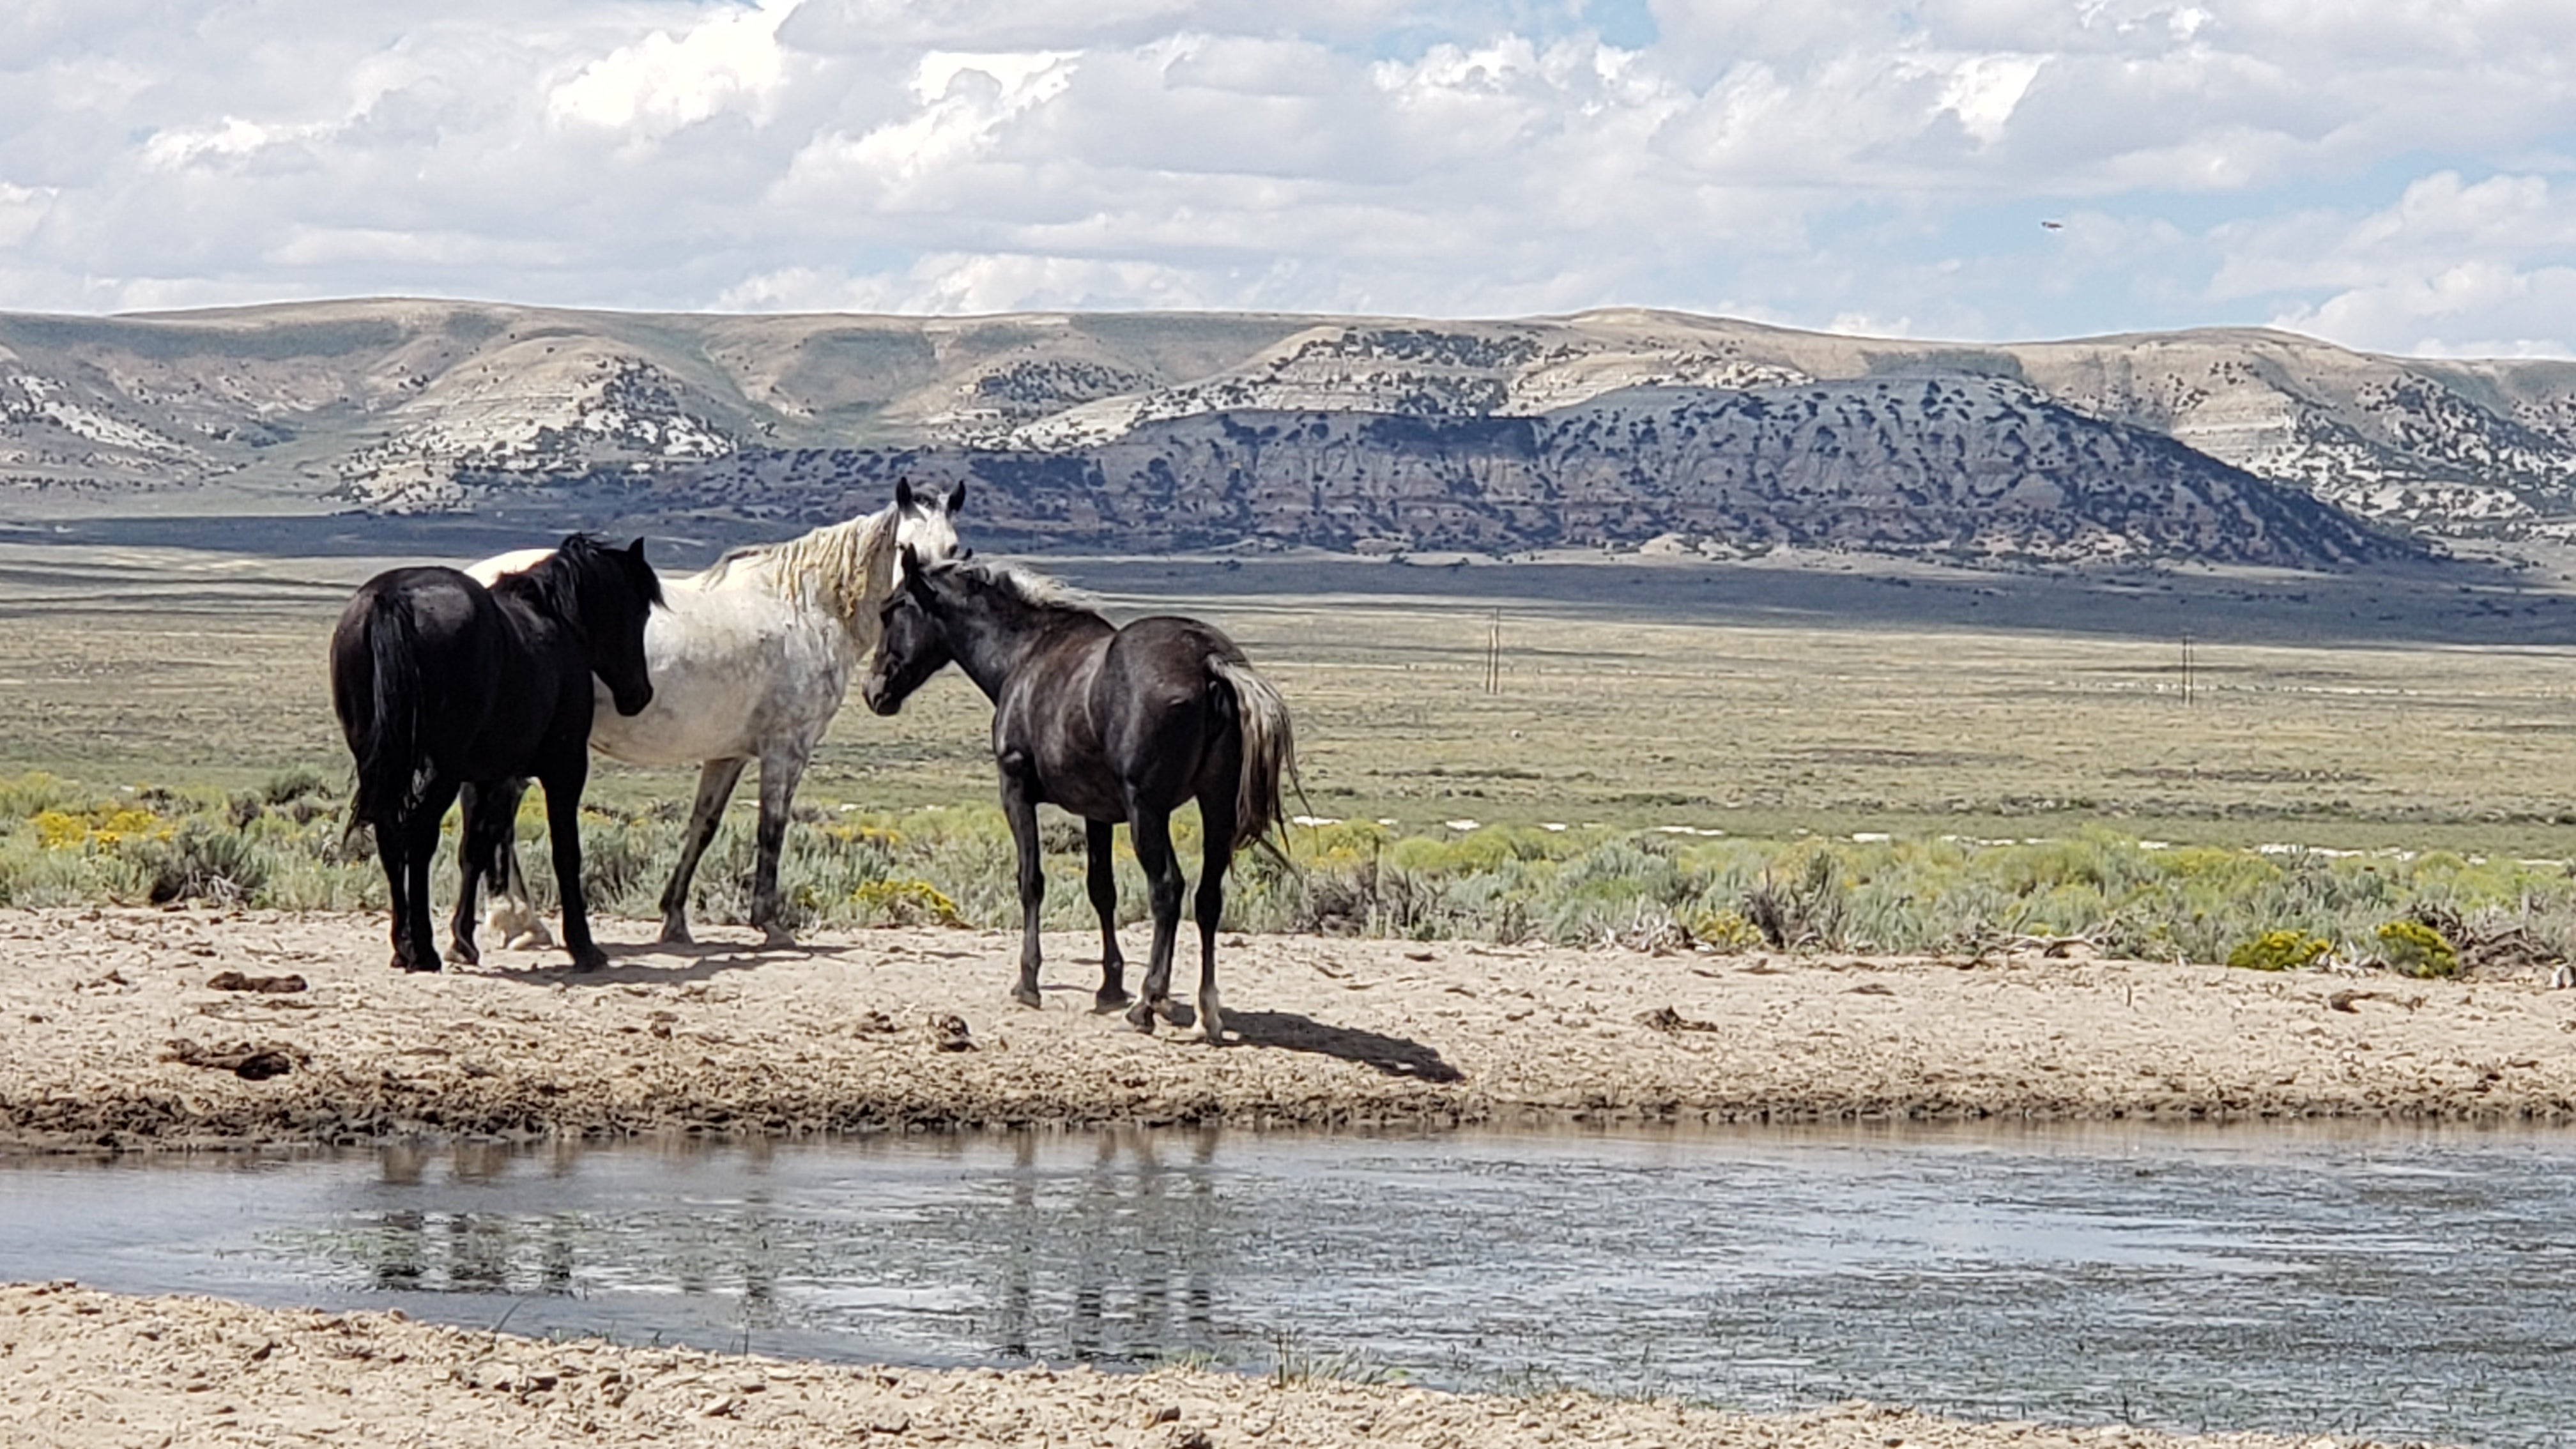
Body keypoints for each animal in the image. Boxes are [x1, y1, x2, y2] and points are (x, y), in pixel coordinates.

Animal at [327, 533, 664, 969]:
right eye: (638, 610)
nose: (640, 694)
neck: (554, 621)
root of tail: (392, 599)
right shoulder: (565, 768)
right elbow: (565, 852)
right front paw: (584, 946)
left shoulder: (490, 777)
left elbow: (475, 850)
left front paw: (463, 940)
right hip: (442, 767)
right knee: (418, 837)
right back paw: (422, 949)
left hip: (388, 760)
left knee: (390, 834)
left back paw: (403, 947)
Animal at [453, 479, 969, 954]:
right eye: (905, 549)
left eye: (953, 550)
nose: (924, 603)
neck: (808, 607)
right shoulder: (787, 749)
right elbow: (771, 829)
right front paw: (770, 924)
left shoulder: (729, 755)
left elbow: (702, 828)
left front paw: (674, 920)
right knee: (499, 818)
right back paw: (519, 924)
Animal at [865, 544, 1298, 1036]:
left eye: (890, 610)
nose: (874, 692)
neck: (1024, 655)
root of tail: (1208, 661)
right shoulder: (1098, 813)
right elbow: (1101, 890)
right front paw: (1109, 987)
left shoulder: (1016, 791)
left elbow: (1031, 881)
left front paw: (1028, 983)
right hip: (1216, 806)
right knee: (1208, 898)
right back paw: (1207, 1012)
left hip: (1148, 810)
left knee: (1167, 891)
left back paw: (1147, 1003)